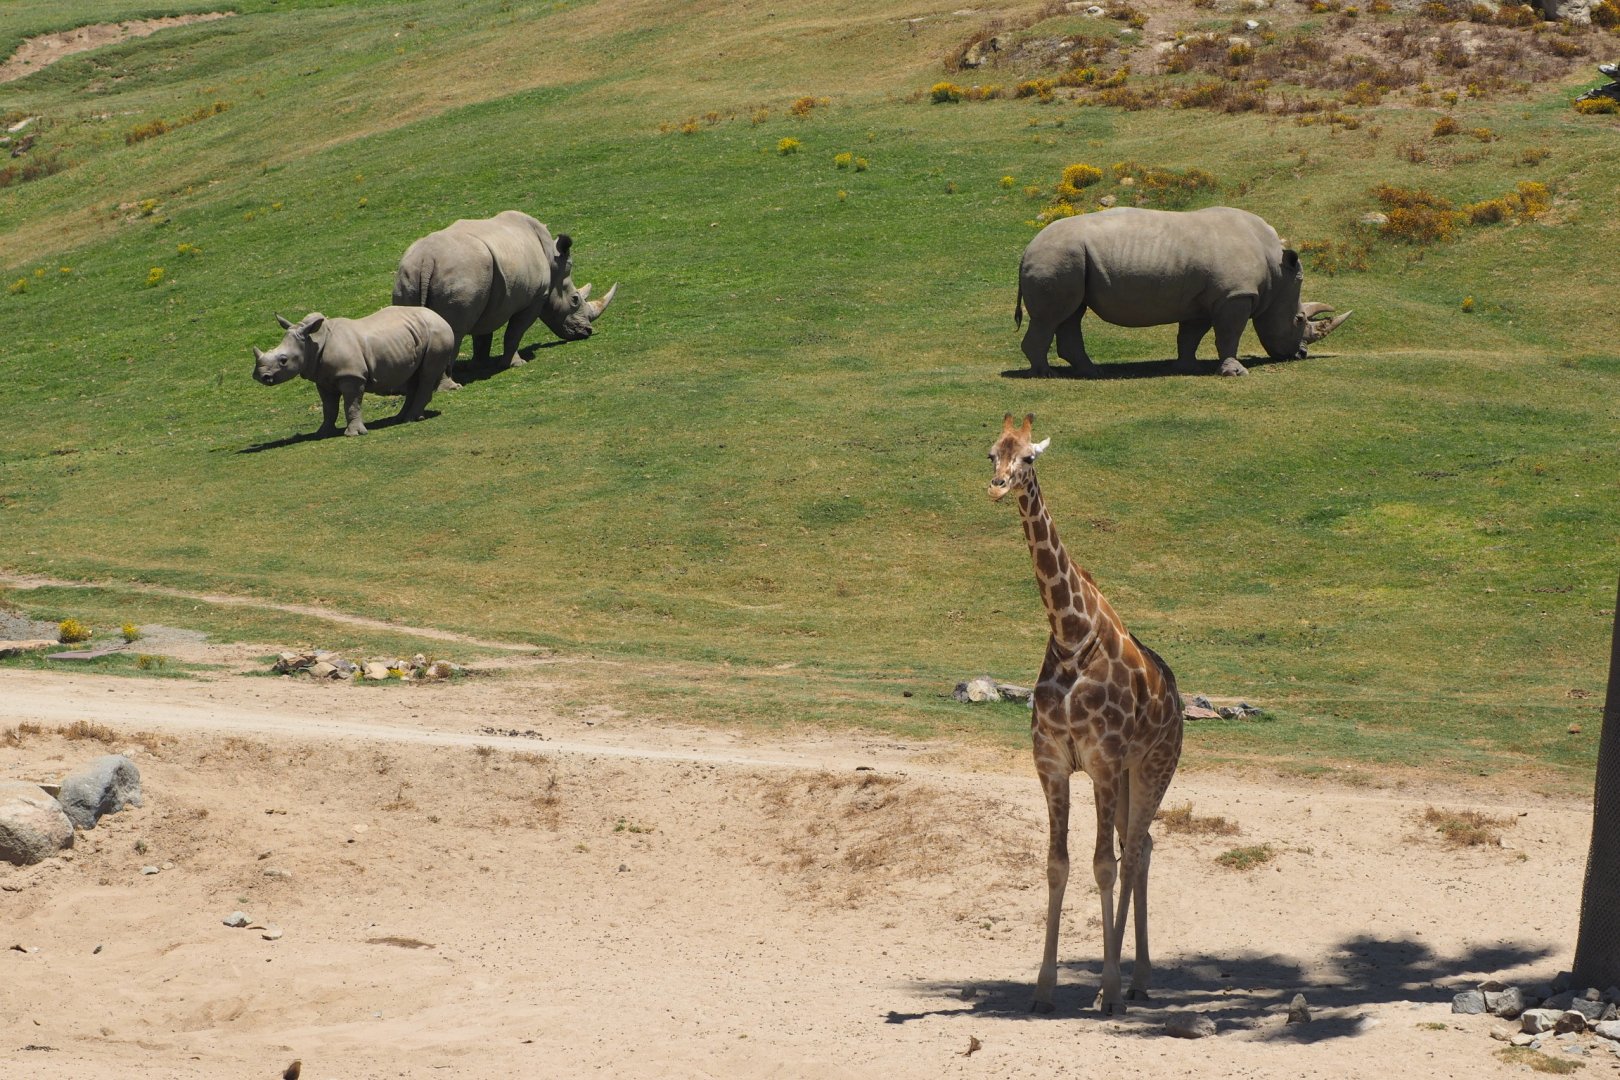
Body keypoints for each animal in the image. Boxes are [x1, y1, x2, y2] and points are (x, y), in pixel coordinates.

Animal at [251, 306, 456, 437]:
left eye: (283, 361)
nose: (261, 376)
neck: (312, 342)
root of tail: (441, 317)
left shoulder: (351, 376)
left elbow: (351, 404)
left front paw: (353, 434)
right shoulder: (322, 378)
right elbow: (329, 407)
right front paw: (322, 433)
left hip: (437, 333)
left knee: (427, 374)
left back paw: (411, 419)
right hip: (414, 336)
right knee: (412, 375)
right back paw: (400, 418)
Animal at [392, 210, 617, 384]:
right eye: (575, 299)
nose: (587, 331)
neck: (552, 261)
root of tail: (427, 260)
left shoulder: (486, 295)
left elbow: (483, 336)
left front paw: (479, 366)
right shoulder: (536, 298)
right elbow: (514, 333)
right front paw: (516, 364)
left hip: (410, 276)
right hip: (462, 275)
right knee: (454, 331)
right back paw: (449, 387)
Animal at [986, 412, 1184, 1015]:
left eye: (1029, 457)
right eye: (991, 453)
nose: (997, 486)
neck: (1071, 636)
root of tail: (1178, 698)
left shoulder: (1099, 763)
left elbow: (1101, 866)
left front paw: (1109, 985)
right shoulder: (1052, 763)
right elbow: (1058, 864)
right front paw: (1043, 989)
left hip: (1152, 767)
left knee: (1134, 851)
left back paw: (1125, 985)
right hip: (1127, 776)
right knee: (1140, 846)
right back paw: (1126, 979)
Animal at [1015, 206, 1350, 377]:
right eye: (1298, 320)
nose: (1301, 355)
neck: (1277, 272)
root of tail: (1026, 249)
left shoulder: (1205, 300)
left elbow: (1191, 335)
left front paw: (1188, 366)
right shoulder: (1235, 295)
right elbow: (1229, 334)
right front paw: (1235, 372)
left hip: (1068, 258)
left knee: (1072, 313)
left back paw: (1090, 371)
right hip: (1057, 256)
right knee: (1053, 317)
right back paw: (1045, 374)